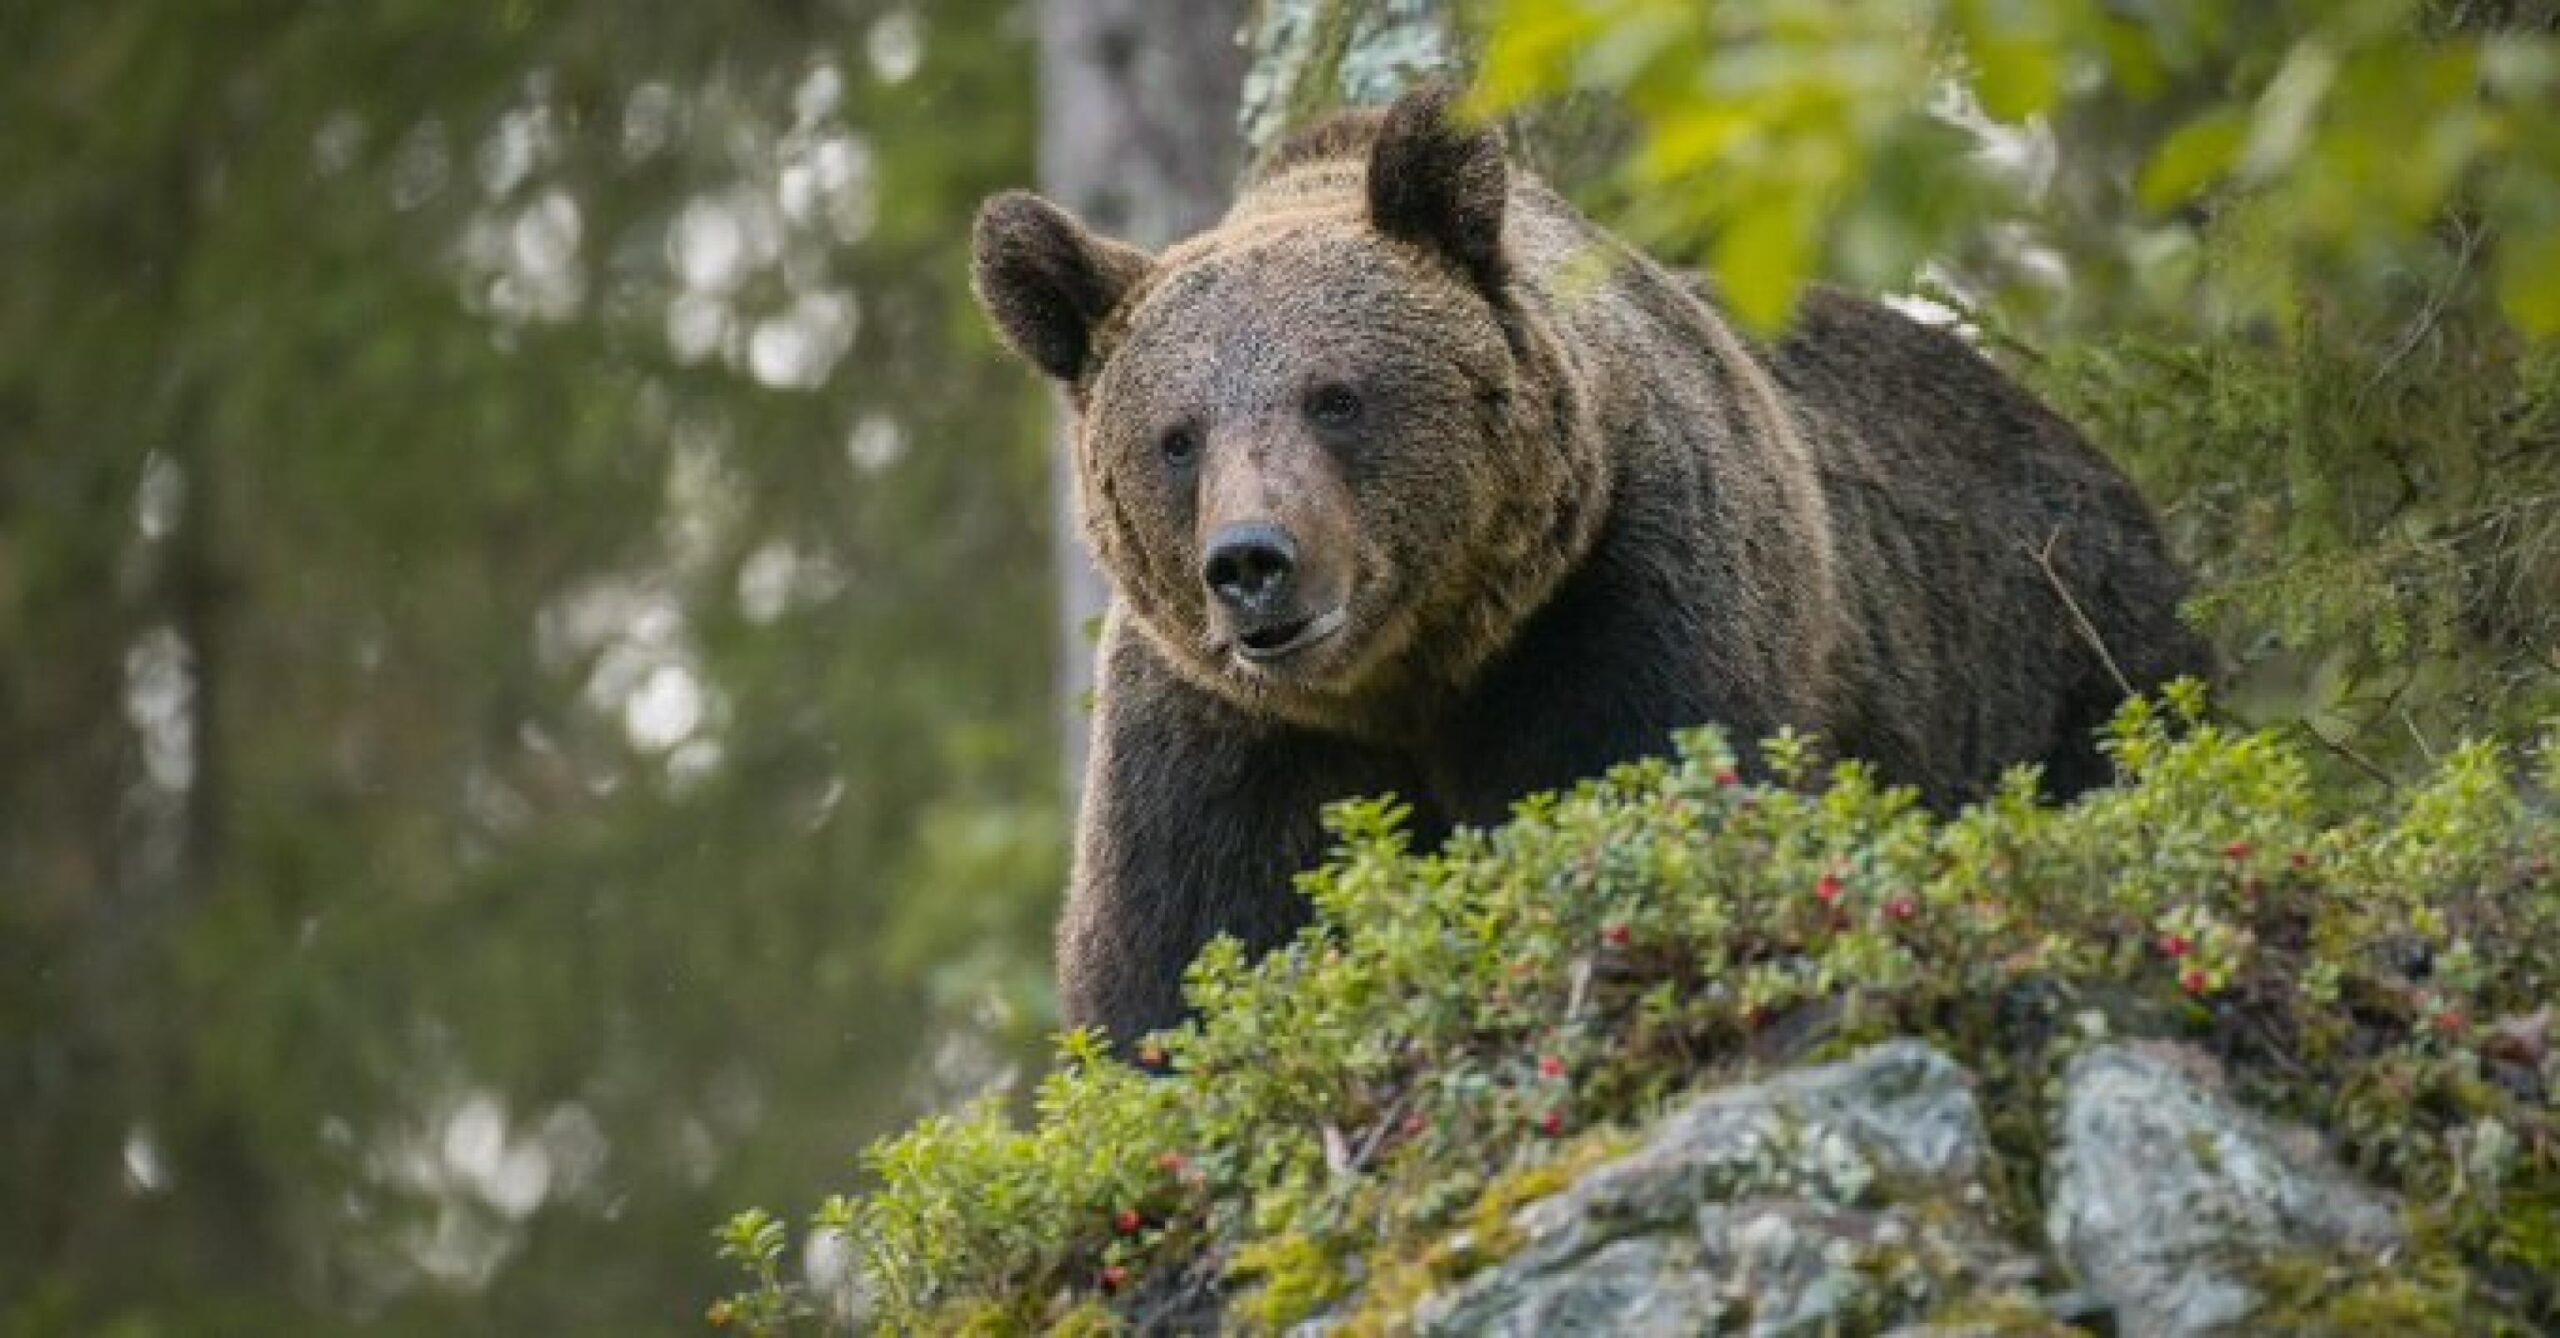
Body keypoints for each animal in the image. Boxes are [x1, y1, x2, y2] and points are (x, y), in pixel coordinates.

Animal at [967, 86, 2211, 1048]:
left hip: (2067, 652)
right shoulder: (1224, 731)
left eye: (1335, 396)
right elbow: (1181, 963)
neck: (1414, 673)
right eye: (1176, 437)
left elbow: (1640, 799)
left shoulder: (1626, 596)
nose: (1252, 564)